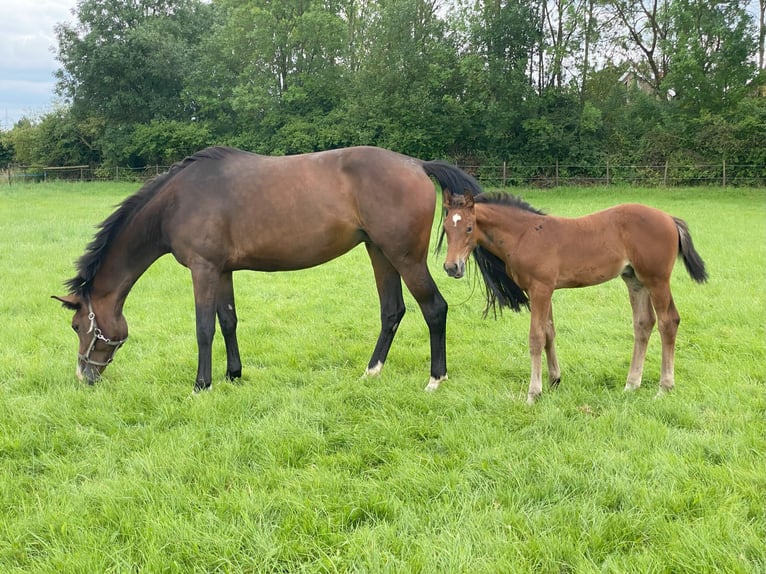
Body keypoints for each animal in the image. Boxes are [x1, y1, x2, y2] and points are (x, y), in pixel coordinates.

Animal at [440, 194, 712, 404]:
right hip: (634, 279)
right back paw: (631, 384)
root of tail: (669, 218)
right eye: (445, 228)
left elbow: (536, 337)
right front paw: (554, 380)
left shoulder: (540, 288)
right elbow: (549, 333)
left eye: (468, 228)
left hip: (656, 279)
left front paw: (533, 393)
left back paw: (664, 387)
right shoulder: (543, 289)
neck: (524, 235)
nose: (452, 267)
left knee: (668, 321)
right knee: (644, 323)